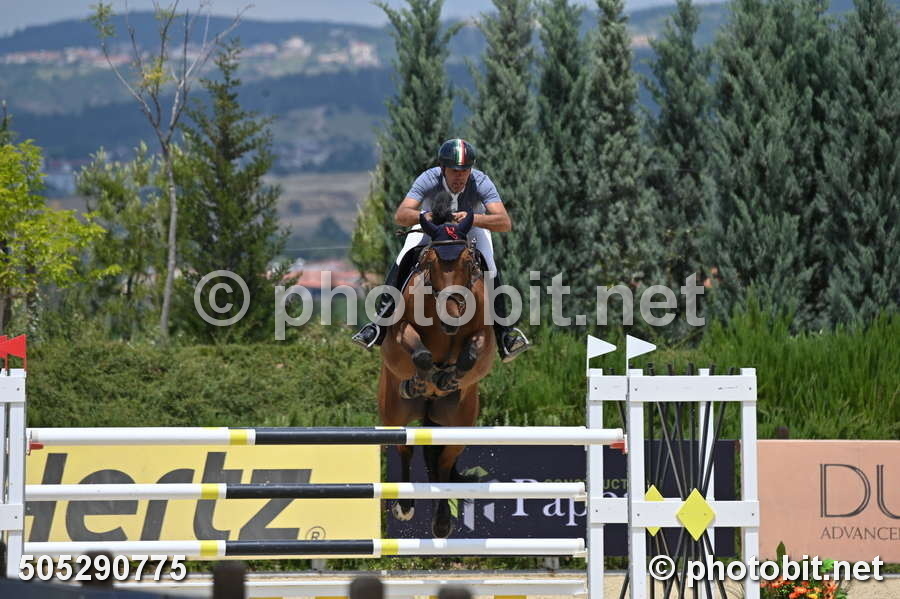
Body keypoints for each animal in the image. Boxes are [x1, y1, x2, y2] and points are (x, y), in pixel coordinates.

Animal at [377, 235, 496, 538]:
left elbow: (470, 355)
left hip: (458, 422)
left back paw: (442, 522)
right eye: (431, 263)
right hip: (394, 413)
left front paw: (448, 378)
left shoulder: (483, 335)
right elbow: (420, 353)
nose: (451, 317)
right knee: (405, 449)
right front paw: (422, 378)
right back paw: (405, 507)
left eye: (468, 264)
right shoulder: (402, 329)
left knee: (442, 462)